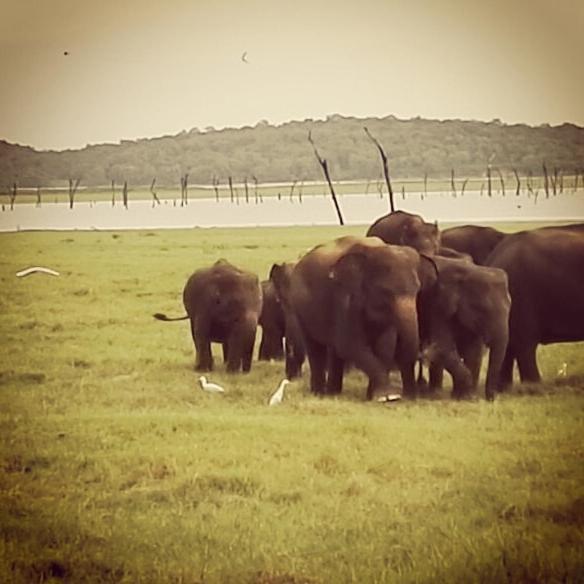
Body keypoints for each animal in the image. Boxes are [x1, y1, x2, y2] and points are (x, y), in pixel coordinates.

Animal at [286, 235, 436, 400]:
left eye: (417, 290)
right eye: (385, 292)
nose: (425, 353)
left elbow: (385, 345)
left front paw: (373, 396)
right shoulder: (344, 296)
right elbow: (349, 344)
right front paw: (388, 396)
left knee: (334, 349)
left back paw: (333, 393)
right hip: (300, 307)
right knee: (315, 348)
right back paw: (319, 394)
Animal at [416, 256, 512, 402]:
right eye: (482, 310)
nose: (493, 398)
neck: (468, 271)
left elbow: (473, 350)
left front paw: (464, 396)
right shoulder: (437, 306)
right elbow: (443, 345)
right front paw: (467, 395)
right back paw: (433, 394)